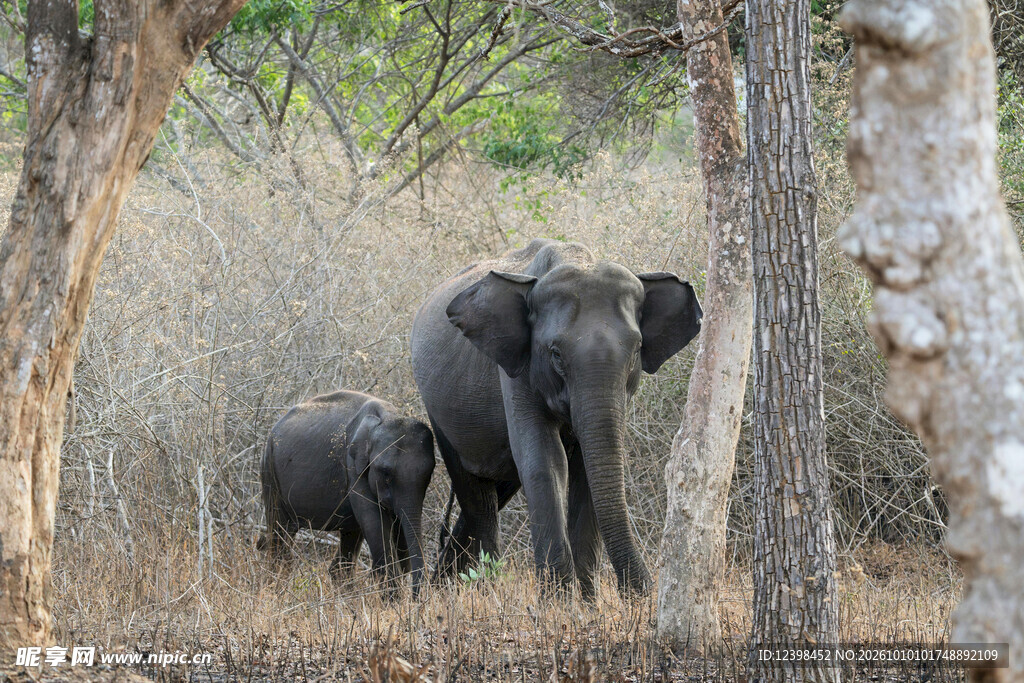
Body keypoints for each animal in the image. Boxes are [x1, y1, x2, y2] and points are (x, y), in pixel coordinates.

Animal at [259, 390, 435, 595]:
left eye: (429, 474)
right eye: (385, 472)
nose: (417, 598)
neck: (387, 416)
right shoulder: (353, 467)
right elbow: (375, 523)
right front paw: (393, 598)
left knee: (349, 538)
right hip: (270, 471)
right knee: (280, 533)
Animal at [410, 238, 702, 598]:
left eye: (636, 351)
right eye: (556, 354)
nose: (641, 597)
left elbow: (588, 468)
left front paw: (588, 605)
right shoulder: (517, 368)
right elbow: (545, 462)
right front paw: (559, 603)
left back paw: (443, 587)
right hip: (439, 413)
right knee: (478, 498)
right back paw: (477, 587)